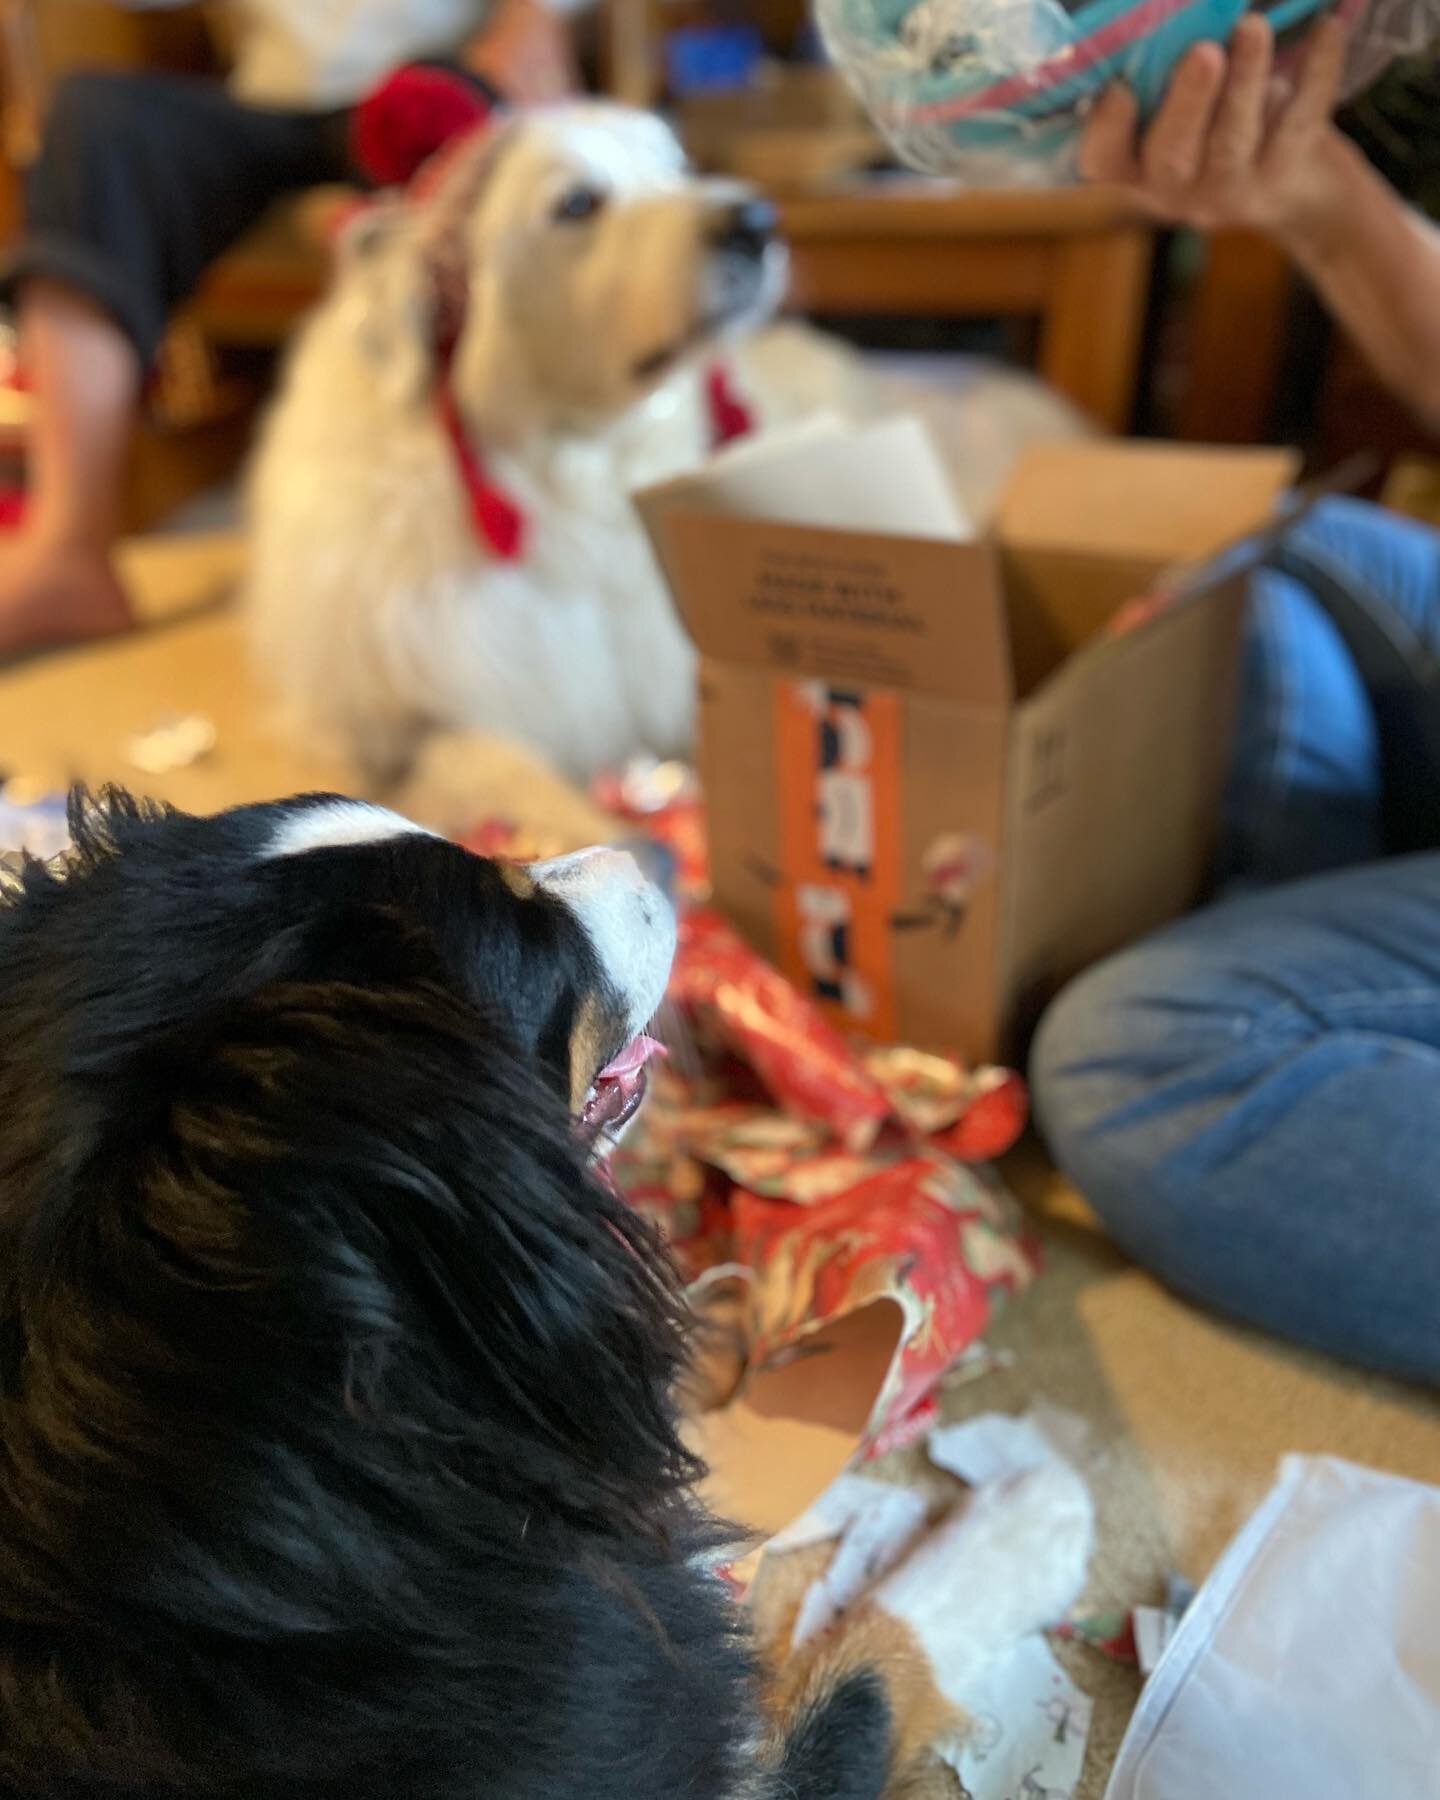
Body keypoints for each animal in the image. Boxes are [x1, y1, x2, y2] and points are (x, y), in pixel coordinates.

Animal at [248, 102, 1080, 784]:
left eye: (677, 169)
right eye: (577, 203)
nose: (757, 220)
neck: (571, 486)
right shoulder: (389, 717)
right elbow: (504, 773)